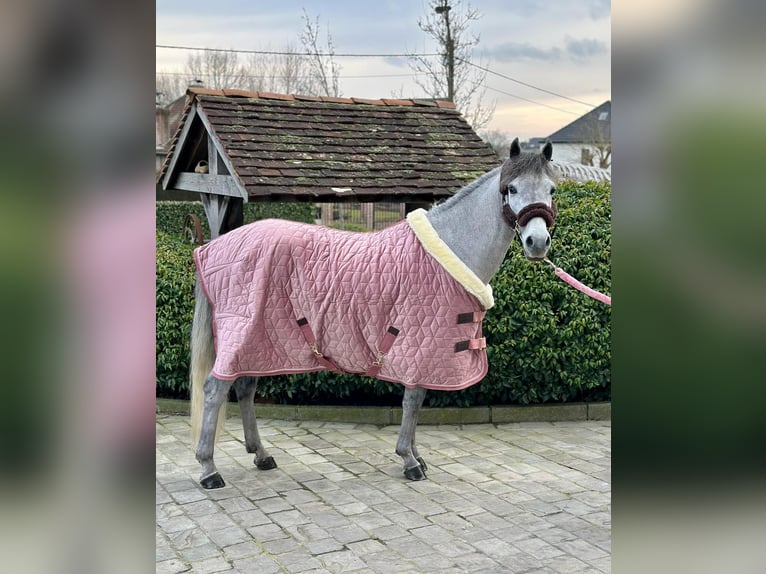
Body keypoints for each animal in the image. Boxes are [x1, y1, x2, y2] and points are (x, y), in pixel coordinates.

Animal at [190, 137, 559, 488]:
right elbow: (413, 401)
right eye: (512, 188)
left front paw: (416, 456)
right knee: (215, 390)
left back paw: (261, 455)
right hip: (242, 335)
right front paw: (409, 461)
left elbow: (416, 400)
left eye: (552, 189)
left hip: (261, 341)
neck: (448, 250)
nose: (537, 243)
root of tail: (213, 247)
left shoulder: (422, 351)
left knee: (245, 389)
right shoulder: (418, 346)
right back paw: (208, 469)